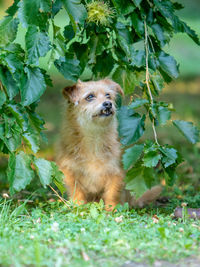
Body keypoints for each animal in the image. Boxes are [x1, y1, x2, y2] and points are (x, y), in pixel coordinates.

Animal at [56, 79, 162, 211]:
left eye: (108, 95)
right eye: (90, 96)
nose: (108, 104)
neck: (94, 136)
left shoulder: (116, 172)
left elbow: (112, 193)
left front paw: (112, 210)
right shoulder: (70, 173)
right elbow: (77, 193)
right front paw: (79, 208)